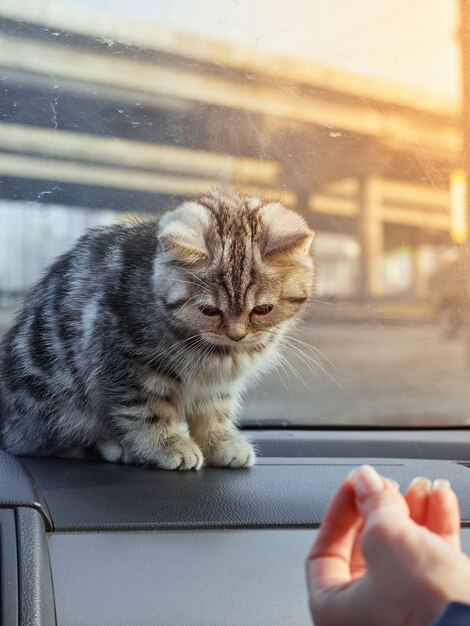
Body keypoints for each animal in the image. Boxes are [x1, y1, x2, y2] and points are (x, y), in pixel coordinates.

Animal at [0, 190, 316, 468]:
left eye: (262, 310)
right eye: (209, 311)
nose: (237, 334)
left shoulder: (217, 384)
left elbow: (215, 410)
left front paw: (220, 442)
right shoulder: (124, 361)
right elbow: (146, 409)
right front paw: (166, 445)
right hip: (61, 401)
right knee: (43, 441)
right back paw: (115, 446)